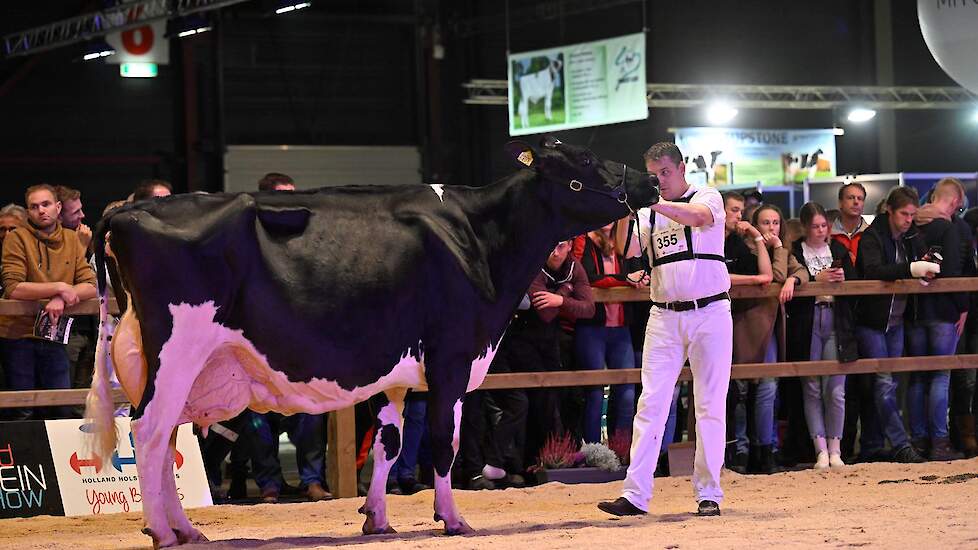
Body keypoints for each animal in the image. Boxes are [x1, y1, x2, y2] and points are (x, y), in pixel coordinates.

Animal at [86, 138, 656, 548]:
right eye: (585, 159)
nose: (650, 180)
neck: (479, 236)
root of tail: (125, 212)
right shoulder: (451, 359)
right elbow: (443, 444)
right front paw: (452, 518)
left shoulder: (396, 374)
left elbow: (390, 442)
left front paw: (377, 518)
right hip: (177, 352)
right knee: (150, 433)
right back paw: (164, 532)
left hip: (167, 367)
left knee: (163, 441)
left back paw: (187, 529)